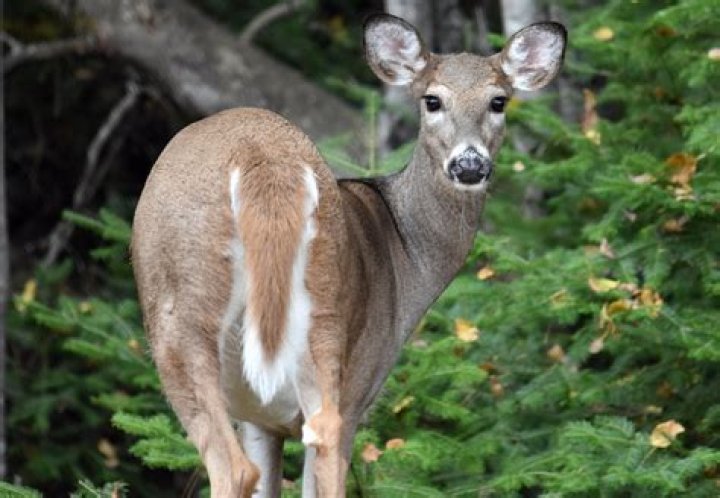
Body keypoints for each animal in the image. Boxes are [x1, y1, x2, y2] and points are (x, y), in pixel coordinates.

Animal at [131, 13, 566, 498]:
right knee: (302, 443)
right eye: (432, 100)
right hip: (294, 309)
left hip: (238, 311)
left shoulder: (272, 412)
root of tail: (261, 159)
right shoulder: (320, 396)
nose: (469, 165)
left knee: (257, 458)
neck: (404, 252)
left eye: (498, 101)